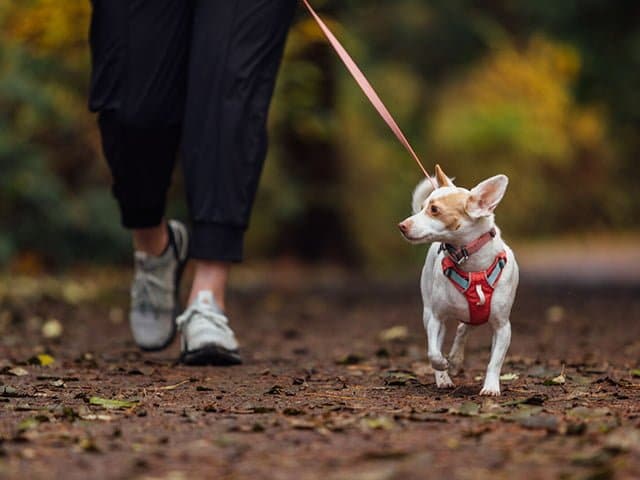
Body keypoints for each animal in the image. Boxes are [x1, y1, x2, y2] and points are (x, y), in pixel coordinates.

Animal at [400, 163, 520, 396]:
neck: (473, 267)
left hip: (476, 316)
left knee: (464, 328)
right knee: (447, 337)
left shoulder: (502, 327)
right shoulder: (436, 318)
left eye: (434, 210)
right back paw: (445, 375)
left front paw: (491, 387)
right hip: (429, 310)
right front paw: (443, 366)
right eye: (422, 207)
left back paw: (456, 359)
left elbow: (495, 361)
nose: (402, 225)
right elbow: (433, 352)